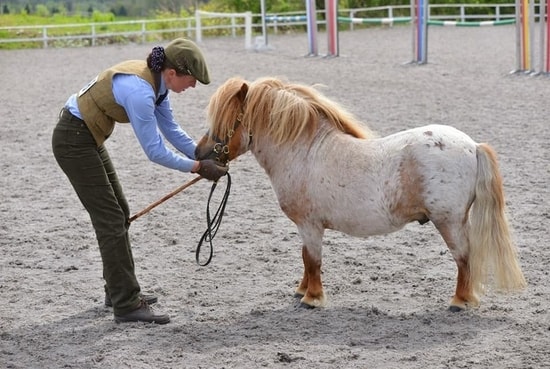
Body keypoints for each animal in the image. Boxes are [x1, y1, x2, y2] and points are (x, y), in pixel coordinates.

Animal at [196, 76, 528, 310]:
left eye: (225, 121)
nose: (199, 154)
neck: (304, 151)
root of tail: (473, 145)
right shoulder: (306, 227)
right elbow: (305, 258)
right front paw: (302, 290)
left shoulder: (310, 225)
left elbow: (313, 260)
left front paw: (312, 298)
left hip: (449, 221)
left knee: (463, 257)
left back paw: (460, 301)